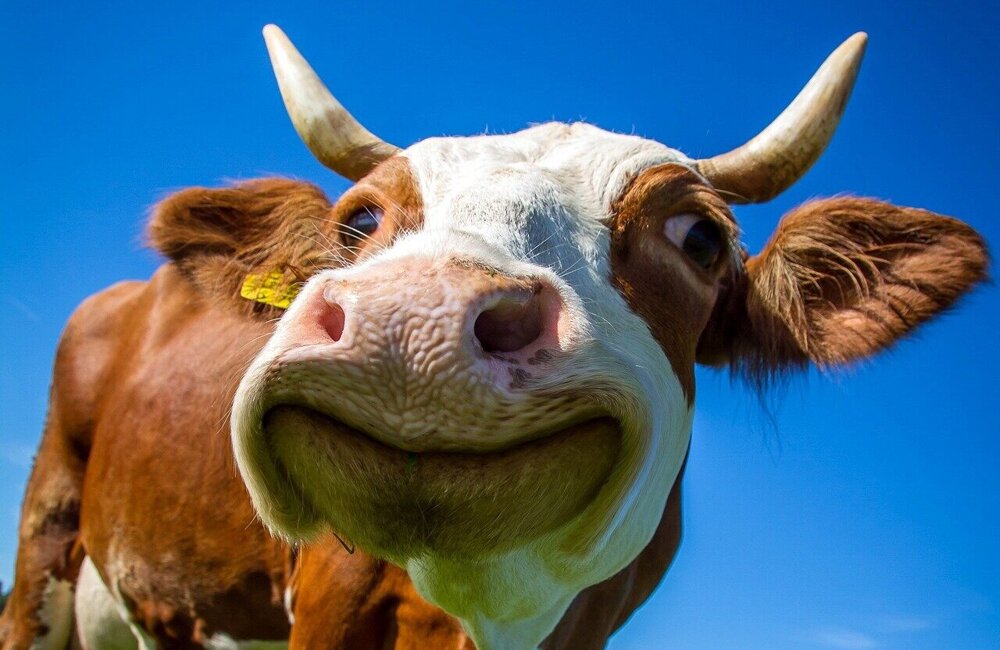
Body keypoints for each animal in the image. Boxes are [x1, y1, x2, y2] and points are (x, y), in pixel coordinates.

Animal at [0, 24, 987, 650]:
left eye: (700, 238)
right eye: (360, 223)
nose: (412, 321)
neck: (486, 611)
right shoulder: (326, 604)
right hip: (46, 543)